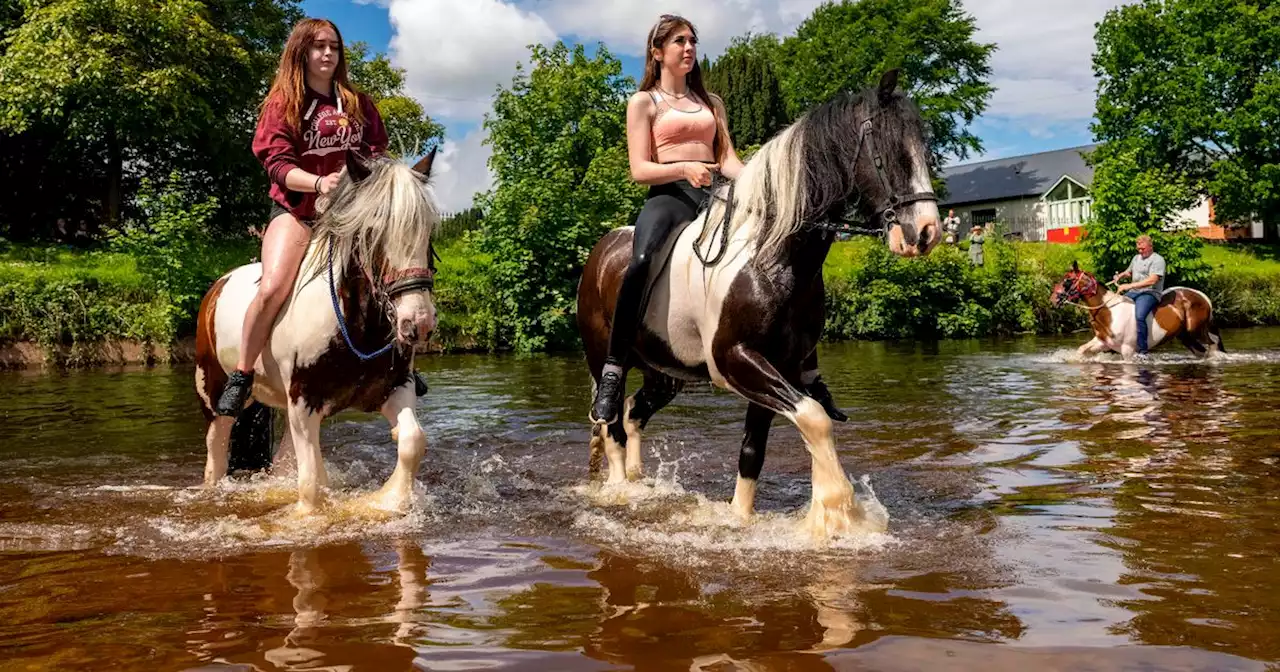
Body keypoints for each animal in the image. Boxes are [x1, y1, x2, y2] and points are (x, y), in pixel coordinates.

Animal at [193, 147, 440, 514]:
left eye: (428, 230)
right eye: (373, 230)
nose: (417, 322)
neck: (354, 326)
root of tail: (216, 287)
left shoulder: (395, 387)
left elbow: (411, 441)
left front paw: (390, 500)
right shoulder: (303, 404)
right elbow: (311, 485)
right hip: (215, 399)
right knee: (216, 455)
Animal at [578, 70, 942, 537]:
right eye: (892, 150)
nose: (927, 232)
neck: (770, 256)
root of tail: (602, 251)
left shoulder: (779, 364)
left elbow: (754, 452)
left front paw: (741, 519)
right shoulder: (736, 359)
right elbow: (815, 418)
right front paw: (837, 512)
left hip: (666, 372)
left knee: (632, 414)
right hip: (605, 356)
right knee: (612, 423)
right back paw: (622, 489)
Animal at [1049, 259, 1228, 358]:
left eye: (1067, 280)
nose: (1053, 300)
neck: (1109, 313)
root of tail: (1203, 296)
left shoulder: (1127, 351)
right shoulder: (1103, 343)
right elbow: (1081, 350)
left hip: (1196, 330)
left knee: (1213, 343)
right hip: (1185, 336)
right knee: (1202, 350)